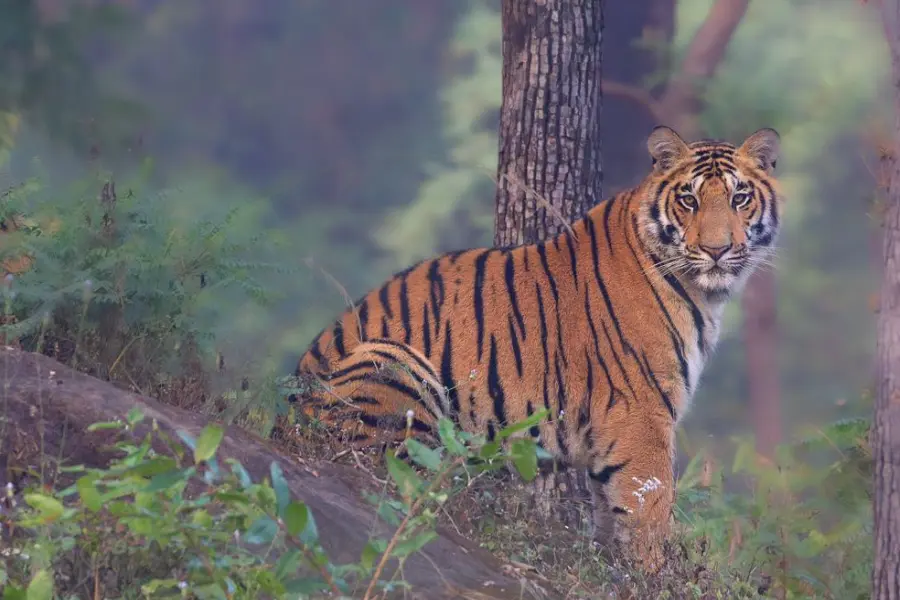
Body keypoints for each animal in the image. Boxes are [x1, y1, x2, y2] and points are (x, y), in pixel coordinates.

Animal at [288, 125, 782, 567]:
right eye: (689, 200)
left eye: (739, 198)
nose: (717, 250)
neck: (703, 293)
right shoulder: (641, 414)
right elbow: (650, 507)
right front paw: (655, 574)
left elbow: (612, 512)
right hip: (394, 363)